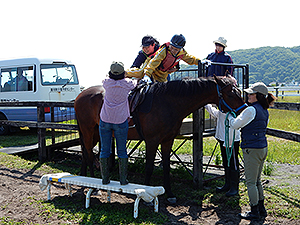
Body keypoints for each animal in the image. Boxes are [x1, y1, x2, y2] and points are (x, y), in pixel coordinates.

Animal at [74, 76, 246, 203]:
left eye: (239, 92)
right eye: (231, 94)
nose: (245, 111)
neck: (168, 102)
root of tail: (80, 96)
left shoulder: (167, 140)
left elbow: (166, 167)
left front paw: (169, 194)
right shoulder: (152, 141)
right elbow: (149, 167)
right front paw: (146, 193)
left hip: (96, 133)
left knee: (85, 155)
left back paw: (83, 178)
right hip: (88, 130)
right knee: (89, 155)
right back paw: (94, 186)